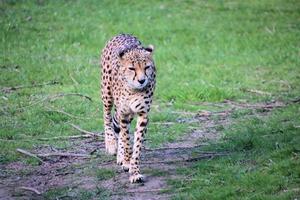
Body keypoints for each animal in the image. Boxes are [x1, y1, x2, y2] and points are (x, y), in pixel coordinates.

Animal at [101, 34, 157, 183]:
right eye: (132, 68)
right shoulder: (124, 113)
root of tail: (122, 34)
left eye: (147, 67)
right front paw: (127, 162)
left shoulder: (142, 114)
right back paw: (111, 144)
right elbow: (126, 140)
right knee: (107, 116)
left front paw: (134, 170)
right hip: (106, 94)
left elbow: (136, 144)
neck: (133, 89)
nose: (142, 80)